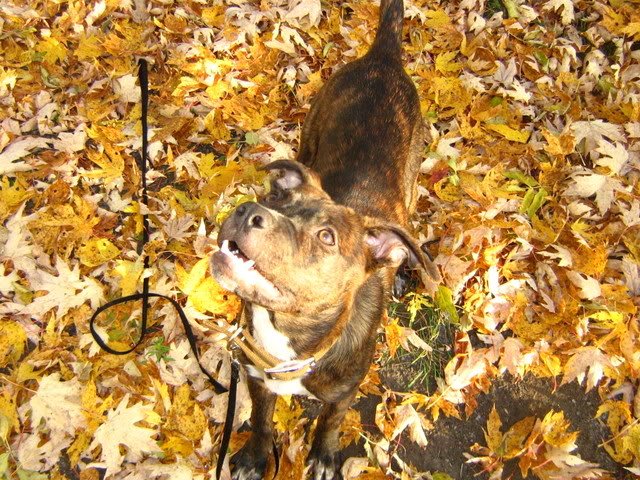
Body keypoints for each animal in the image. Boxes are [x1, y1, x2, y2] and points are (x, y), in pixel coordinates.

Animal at [210, 1, 440, 478]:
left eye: (327, 237)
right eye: (277, 196)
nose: (247, 211)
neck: (289, 340)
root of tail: (382, 57)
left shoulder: (344, 392)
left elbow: (331, 421)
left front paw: (323, 454)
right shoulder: (257, 379)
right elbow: (261, 421)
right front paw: (256, 458)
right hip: (310, 133)